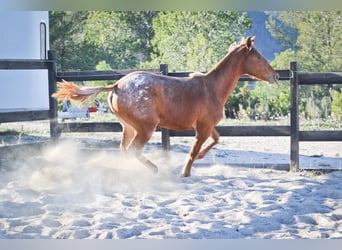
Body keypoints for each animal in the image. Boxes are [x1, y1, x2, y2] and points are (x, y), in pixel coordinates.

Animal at [52, 36, 278, 178]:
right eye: (258, 56)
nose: (275, 76)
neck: (212, 88)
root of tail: (117, 85)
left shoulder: (206, 126)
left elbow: (216, 140)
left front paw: (200, 159)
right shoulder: (203, 127)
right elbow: (194, 150)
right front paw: (185, 172)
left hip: (129, 127)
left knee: (124, 149)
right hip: (146, 127)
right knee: (133, 150)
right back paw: (154, 169)